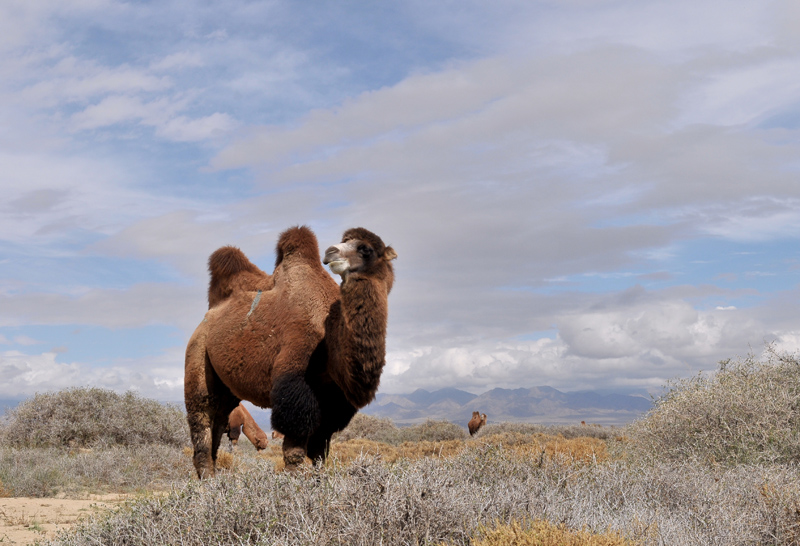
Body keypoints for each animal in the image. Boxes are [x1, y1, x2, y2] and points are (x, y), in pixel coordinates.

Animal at [181, 223, 394, 474]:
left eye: (365, 248)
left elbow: (320, 454)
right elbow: (294, 453)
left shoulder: (333, 402)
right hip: (197, 354)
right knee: (202, 423)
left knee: (218, 425)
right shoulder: (294, 387)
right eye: (344, 241)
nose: (331, 252)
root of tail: (208, 316)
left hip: (227, 390)